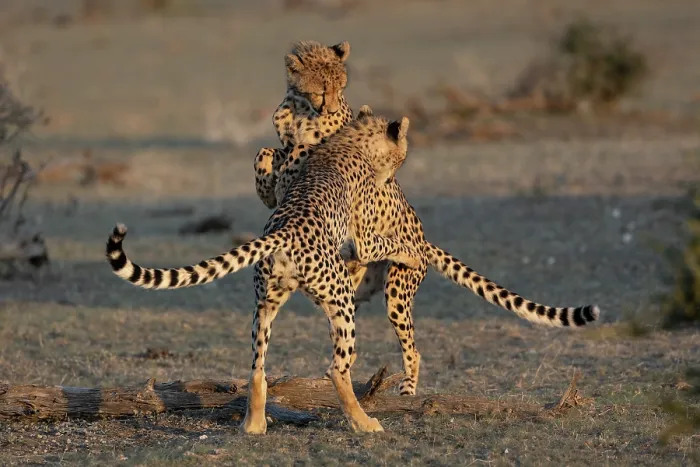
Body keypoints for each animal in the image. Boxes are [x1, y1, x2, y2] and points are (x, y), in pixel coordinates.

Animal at [106, 113, 419, 434]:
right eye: (401, 157)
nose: (391, 176)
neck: (351, 141)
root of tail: (287, 231)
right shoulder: (365, 242)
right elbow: (391, 244)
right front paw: (412, 254)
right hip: (340, 296)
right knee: (336, 368)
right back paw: (363, 422)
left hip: (266, 303)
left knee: (257, 367)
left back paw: (254, 423)